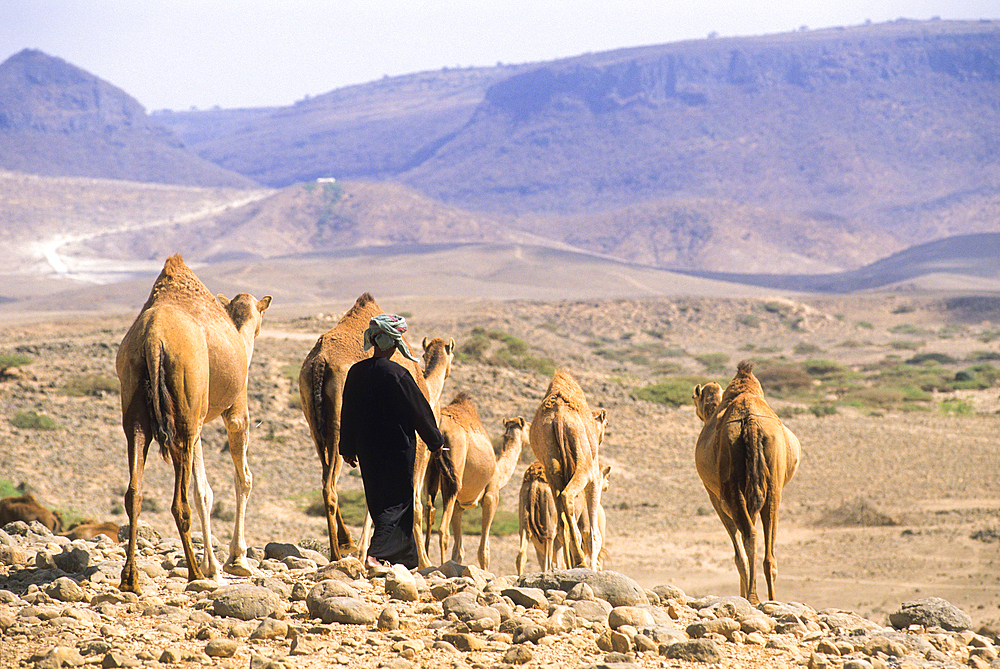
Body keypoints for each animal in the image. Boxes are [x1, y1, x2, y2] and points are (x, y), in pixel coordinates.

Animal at [117, 253, 272, 592]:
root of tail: (153, 339)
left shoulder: (196, 421)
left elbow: (205, 491)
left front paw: (216, 564)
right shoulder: (235, 411)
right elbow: (242, 479)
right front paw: (235, 561)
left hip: (139, 410)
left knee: (134, 492)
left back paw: (130, 578)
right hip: (185, 412)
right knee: (180, 502)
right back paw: (195, 573)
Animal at [424, 402, 528, 568]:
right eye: (528, 427)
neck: (499, 471)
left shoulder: (459, 506)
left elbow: (458, 552)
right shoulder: (491, 496)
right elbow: (483, 551)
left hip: (429, 470)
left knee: (428, 511)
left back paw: (425, 562)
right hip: (452, 473)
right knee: (442, 529)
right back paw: (439, 566)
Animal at [528, 370, 604, 568]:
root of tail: (559, 417)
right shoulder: (594, 476)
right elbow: (594, 533)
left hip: (551, 464)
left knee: (562, 522)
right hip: (584, 466)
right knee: (567, 496)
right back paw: (580, 561)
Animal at [692, 360, 800, 604]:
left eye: (695, 399)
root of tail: (750, 421)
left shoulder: (715, 497)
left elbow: (738, 554)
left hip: (731, 488)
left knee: (749, 535)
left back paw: (752, 597)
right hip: (773, 485)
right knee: (768, 547)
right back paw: (770, 598)